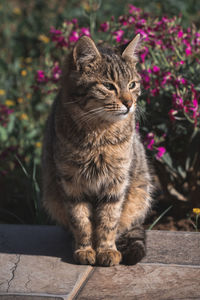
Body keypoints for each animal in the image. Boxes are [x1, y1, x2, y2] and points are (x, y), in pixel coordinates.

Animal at [41, 34, 152, 266]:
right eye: (109, 86)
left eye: (132, 84)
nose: (129, 103)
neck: (99, 134)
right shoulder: (71, 182)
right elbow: (81, 220)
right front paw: (85, 249)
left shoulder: (116, 182)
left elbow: (108, 220)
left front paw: (107, 250)